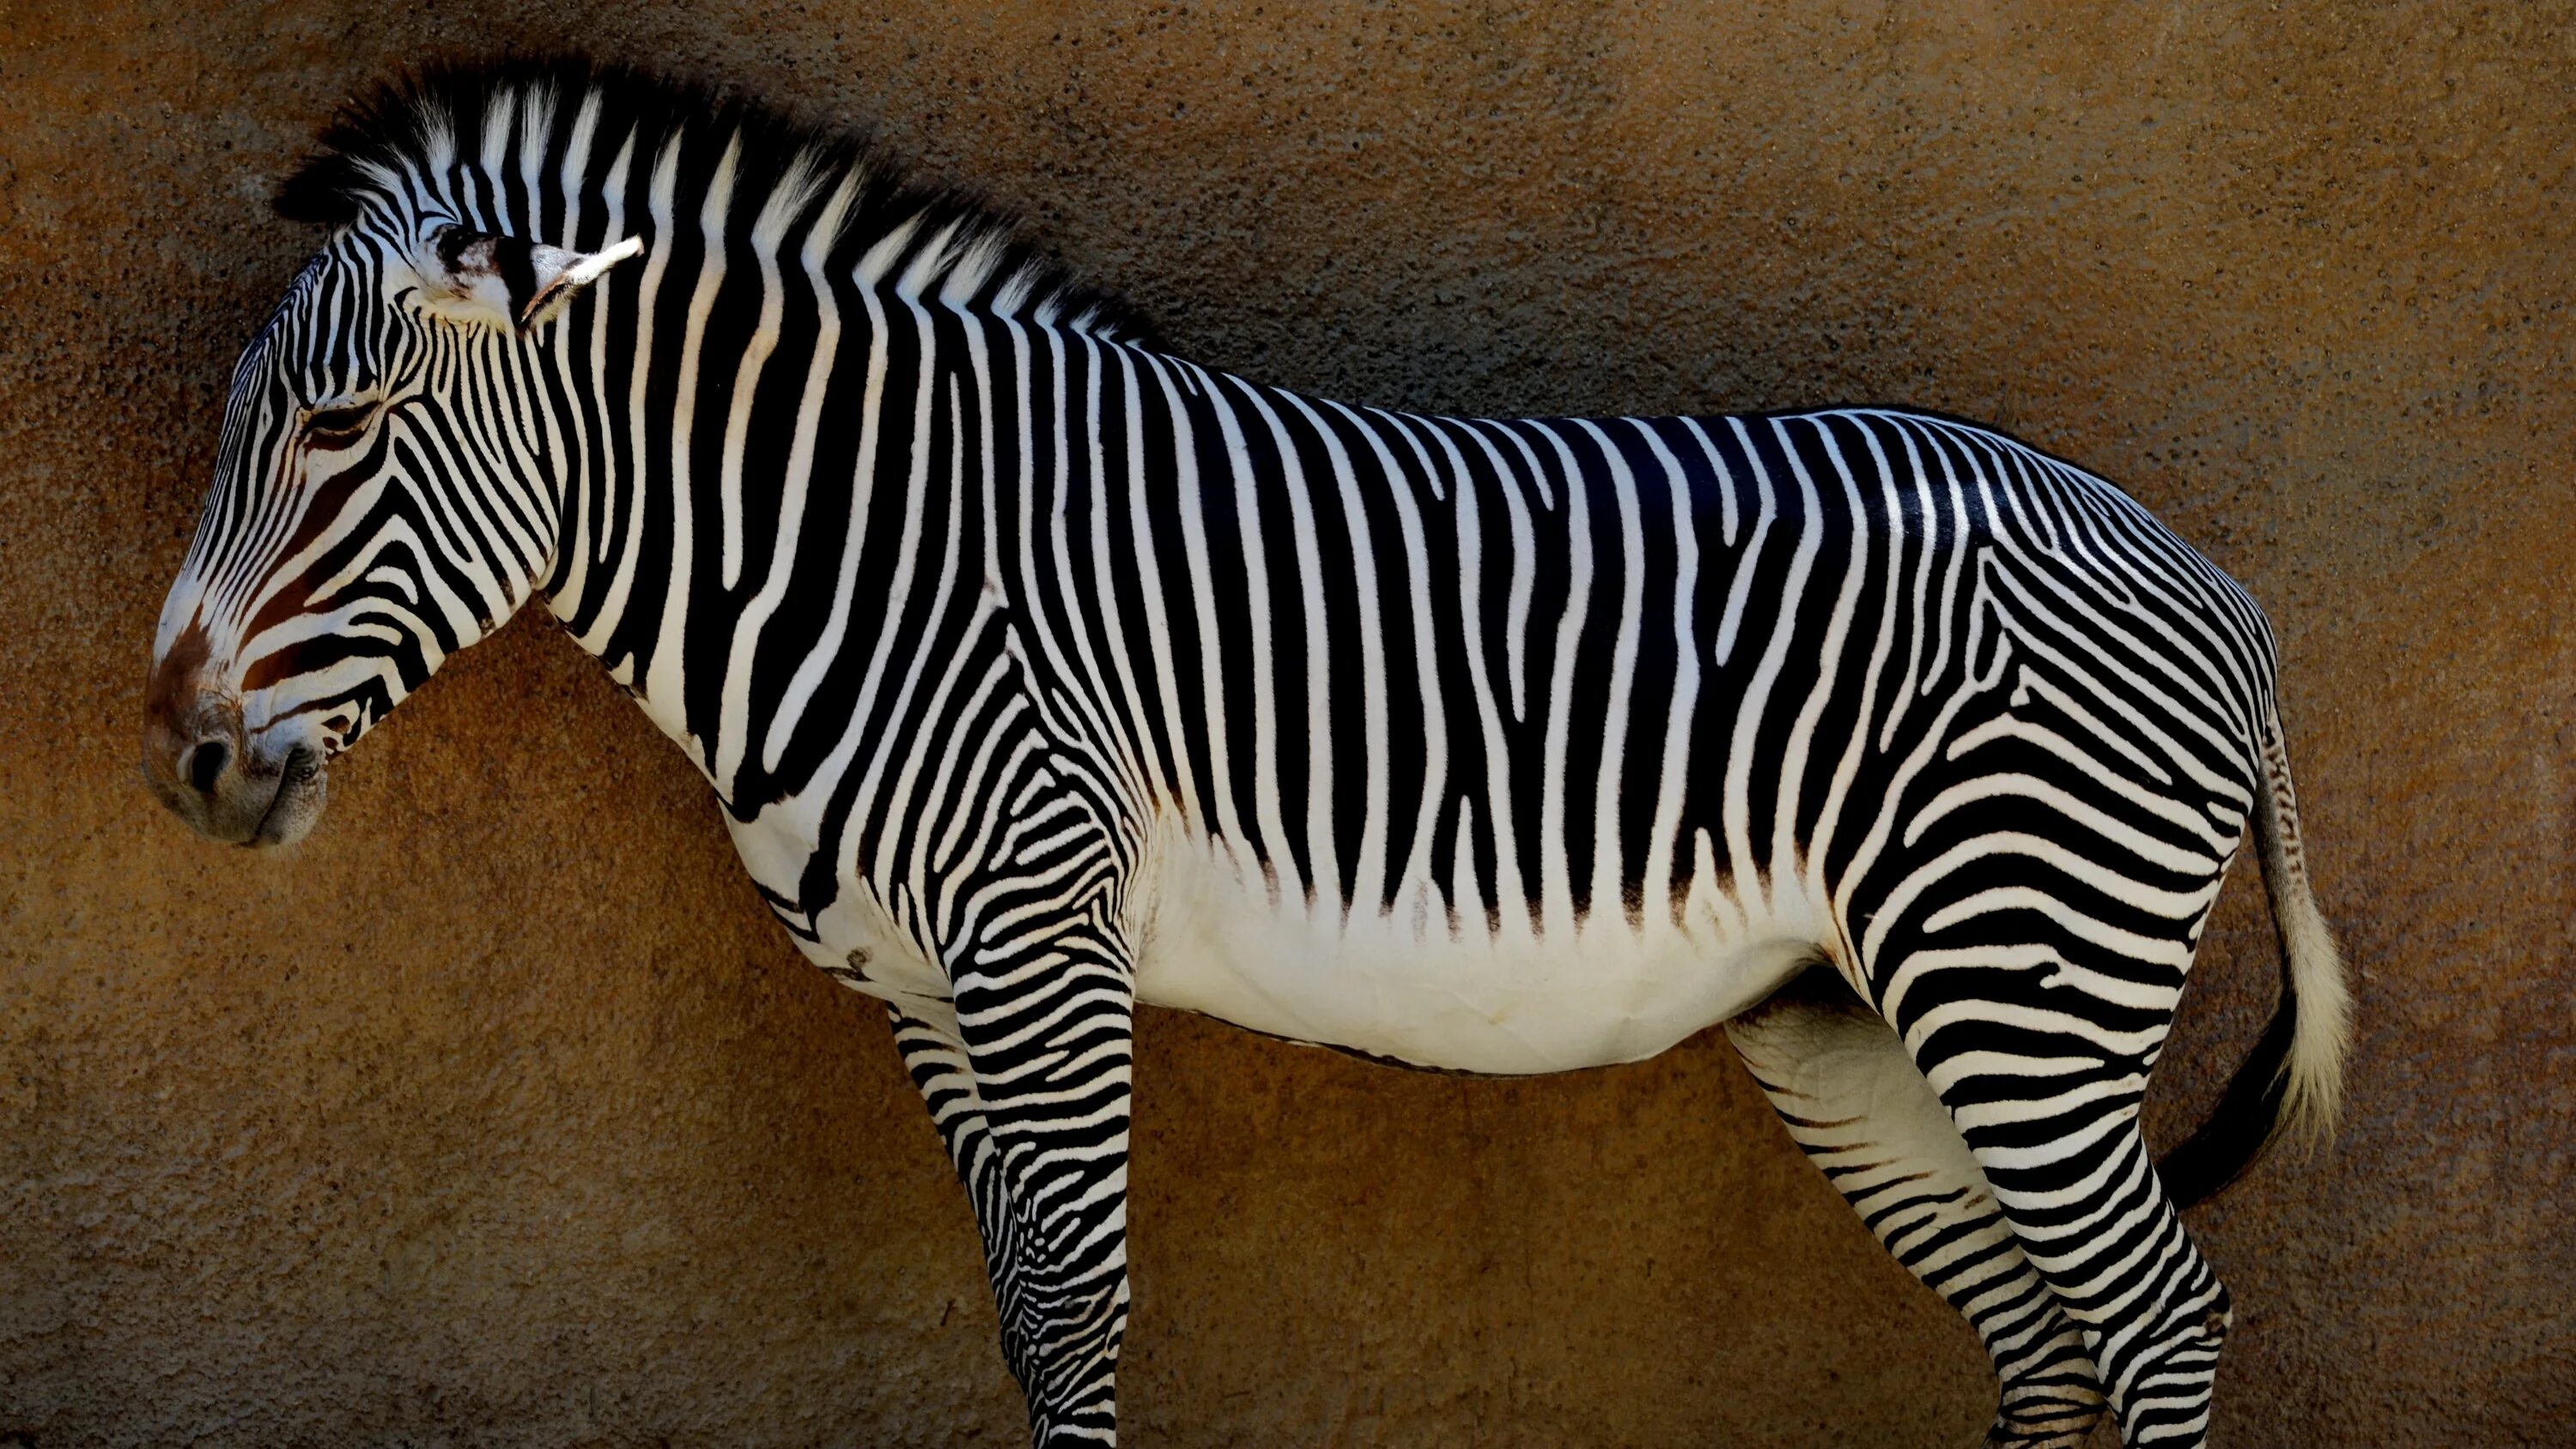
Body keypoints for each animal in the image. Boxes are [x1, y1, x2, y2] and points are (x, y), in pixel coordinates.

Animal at [146, 62, 2360, 1449]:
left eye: (333, 432)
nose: (176, 758)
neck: (867, 551)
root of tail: (2218, 587)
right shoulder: (926, 993)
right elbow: (1024, 1315)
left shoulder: (1038, 933)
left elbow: (1075, 1306)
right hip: (1857, 1021)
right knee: (2050, 1342)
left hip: (2017, 978)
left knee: (2154, 1320)